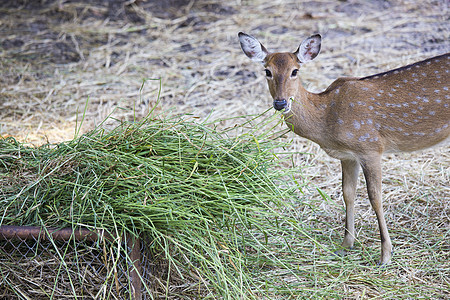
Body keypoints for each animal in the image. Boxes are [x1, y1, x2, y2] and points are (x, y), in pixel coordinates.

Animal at [237, 31, 448, 264]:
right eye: (267, 71)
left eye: (295, 71)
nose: (281, 103)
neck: (327, 117)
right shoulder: (348, 156)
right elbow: (347, 193)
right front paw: (345, 245)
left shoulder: (370, 146)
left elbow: (375, 197)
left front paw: (385, 255)